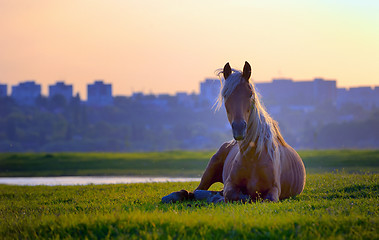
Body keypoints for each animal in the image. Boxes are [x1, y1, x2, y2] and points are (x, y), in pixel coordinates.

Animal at [162, 61, 308, 202]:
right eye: (226, 95)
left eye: (250, 93)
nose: (239, 128)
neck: (254, 157)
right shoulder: (230, 184)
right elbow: (233, 194)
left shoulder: (274, 190)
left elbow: (263, 198)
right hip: (210, 168)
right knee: (195, 191)